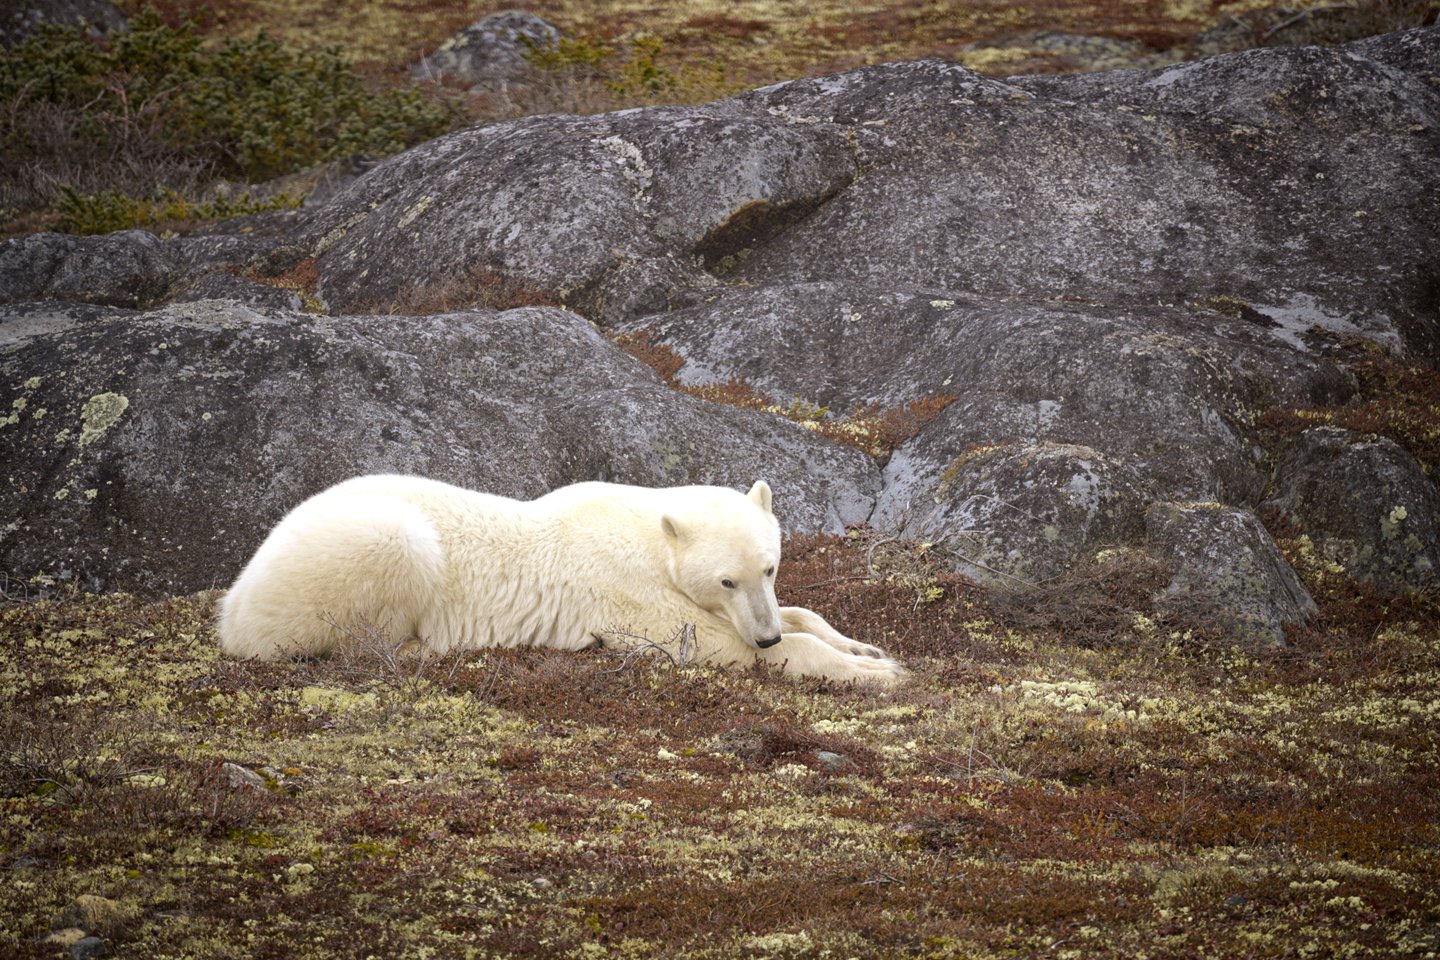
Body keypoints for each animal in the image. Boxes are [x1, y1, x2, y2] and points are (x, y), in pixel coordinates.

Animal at [216, 472, 898, 682]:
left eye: (770, 565)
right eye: (726, 580)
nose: (765, 637)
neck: (647, 530)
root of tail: (233, 606)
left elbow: (802, 612)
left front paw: (863, 646)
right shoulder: (623, 589)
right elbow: (697, 640)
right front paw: (877, 672)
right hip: (360, 550)